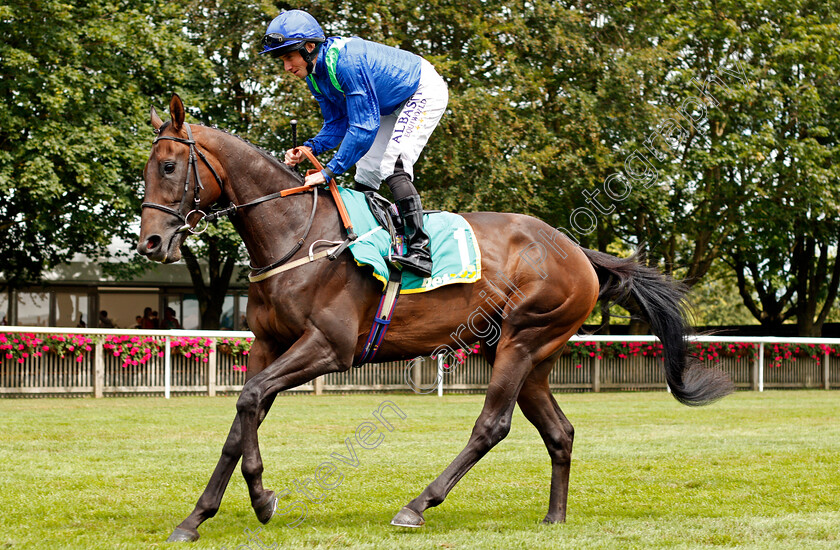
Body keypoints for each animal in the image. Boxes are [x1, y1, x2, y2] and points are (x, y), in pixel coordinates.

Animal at [135, 95, 732, 544]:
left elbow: (249, 400)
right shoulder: (267, 344)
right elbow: (244, 418)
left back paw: (417, 504)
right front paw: (202, 515)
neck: (295, 236)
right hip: (524, 353)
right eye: (147, 168)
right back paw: (554, 517)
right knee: (559, 431)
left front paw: (259, 499)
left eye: (169, 166)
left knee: (492, 425)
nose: (151, 243)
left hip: (522, 339)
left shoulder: (329, 346)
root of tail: (577, 251)